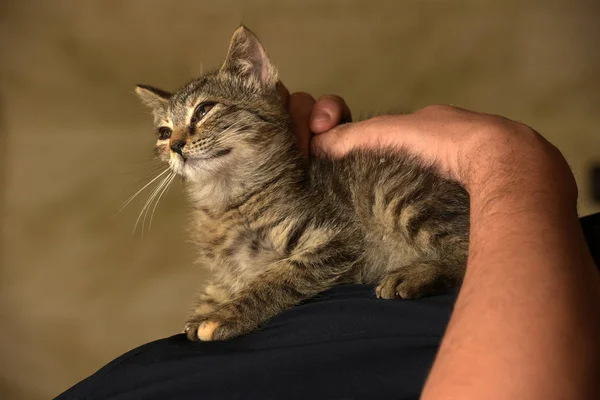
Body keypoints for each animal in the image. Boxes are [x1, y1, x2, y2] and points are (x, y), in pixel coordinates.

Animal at [135, 26, 468, 342]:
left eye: (204, 110)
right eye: (164, 133)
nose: (175, 146)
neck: (225, 201)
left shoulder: (336, 238)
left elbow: (279, 276)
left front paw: (224, 315)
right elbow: (215, 289)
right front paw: (206, 309)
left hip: (393, 193)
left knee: (466, 250)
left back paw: (414, 275)